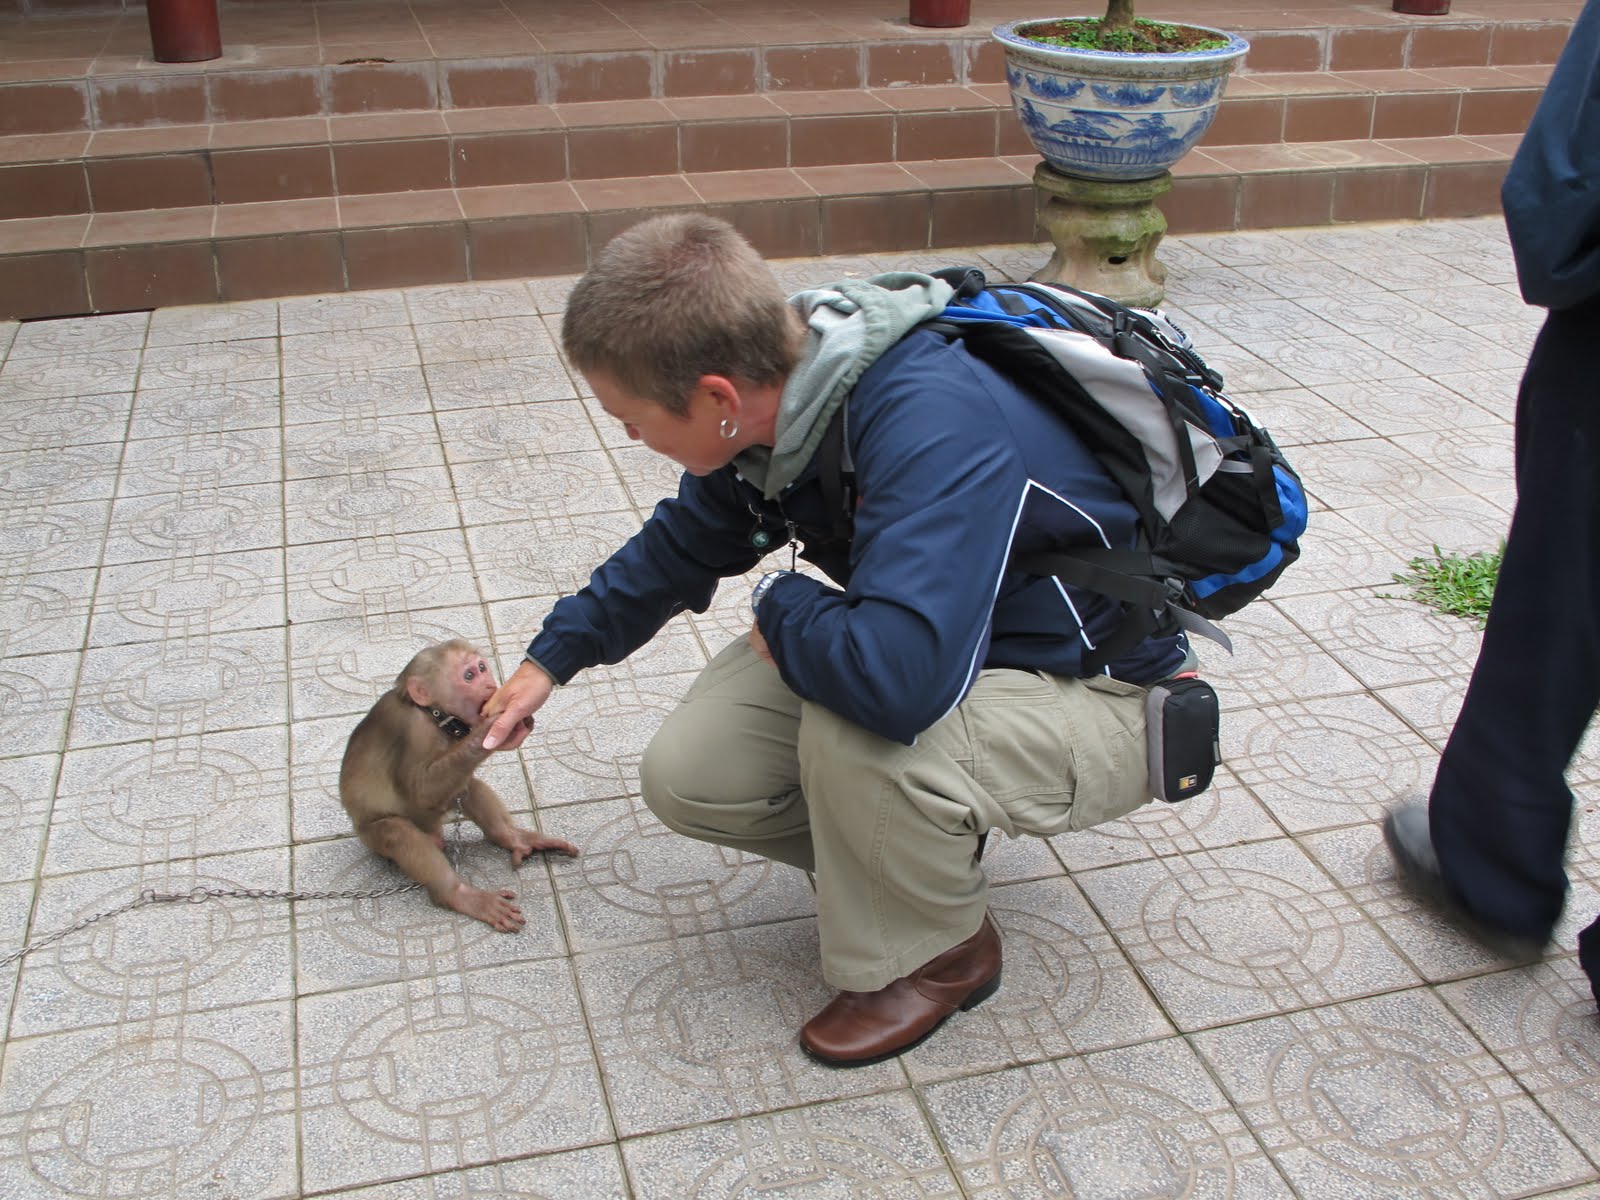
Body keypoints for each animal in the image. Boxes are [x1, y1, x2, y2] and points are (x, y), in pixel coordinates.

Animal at [338, 639, 579, 931]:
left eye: (482, 667)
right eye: (469, 675)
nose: (488, 684)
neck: (435, 716)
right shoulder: (413, 731)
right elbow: (419, 794)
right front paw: (486, 731)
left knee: (468, 787)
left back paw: (513, 837)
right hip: (369, 834)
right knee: (398, 832)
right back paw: (457, 894)